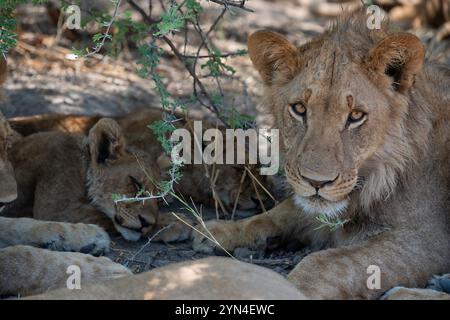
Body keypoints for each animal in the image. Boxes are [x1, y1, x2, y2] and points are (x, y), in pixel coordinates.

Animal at [192, 11, 450, 298]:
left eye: (356, 115)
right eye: (299, 108)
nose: (316, 182)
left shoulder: (426, 238)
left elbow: (324, 264)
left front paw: (289, 288)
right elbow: (281, 212)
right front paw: (218, 229)